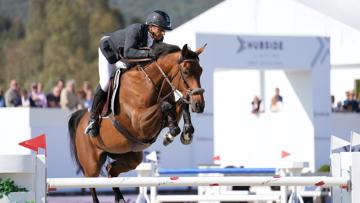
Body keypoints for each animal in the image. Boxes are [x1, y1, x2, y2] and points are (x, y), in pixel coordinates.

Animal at [68, 42, 205, 202]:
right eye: (186, 71)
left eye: (201, 71)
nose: (199, 105)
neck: (150, 83)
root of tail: (81, 118)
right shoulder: (140, 123)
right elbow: (166, 105)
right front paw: (172, 133)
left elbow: (179, 103)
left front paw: (185, 133)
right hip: (92, 164)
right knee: (92, 184)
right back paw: (92, 126)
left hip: (130, 156)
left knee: (110, 170)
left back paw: (120, 198)